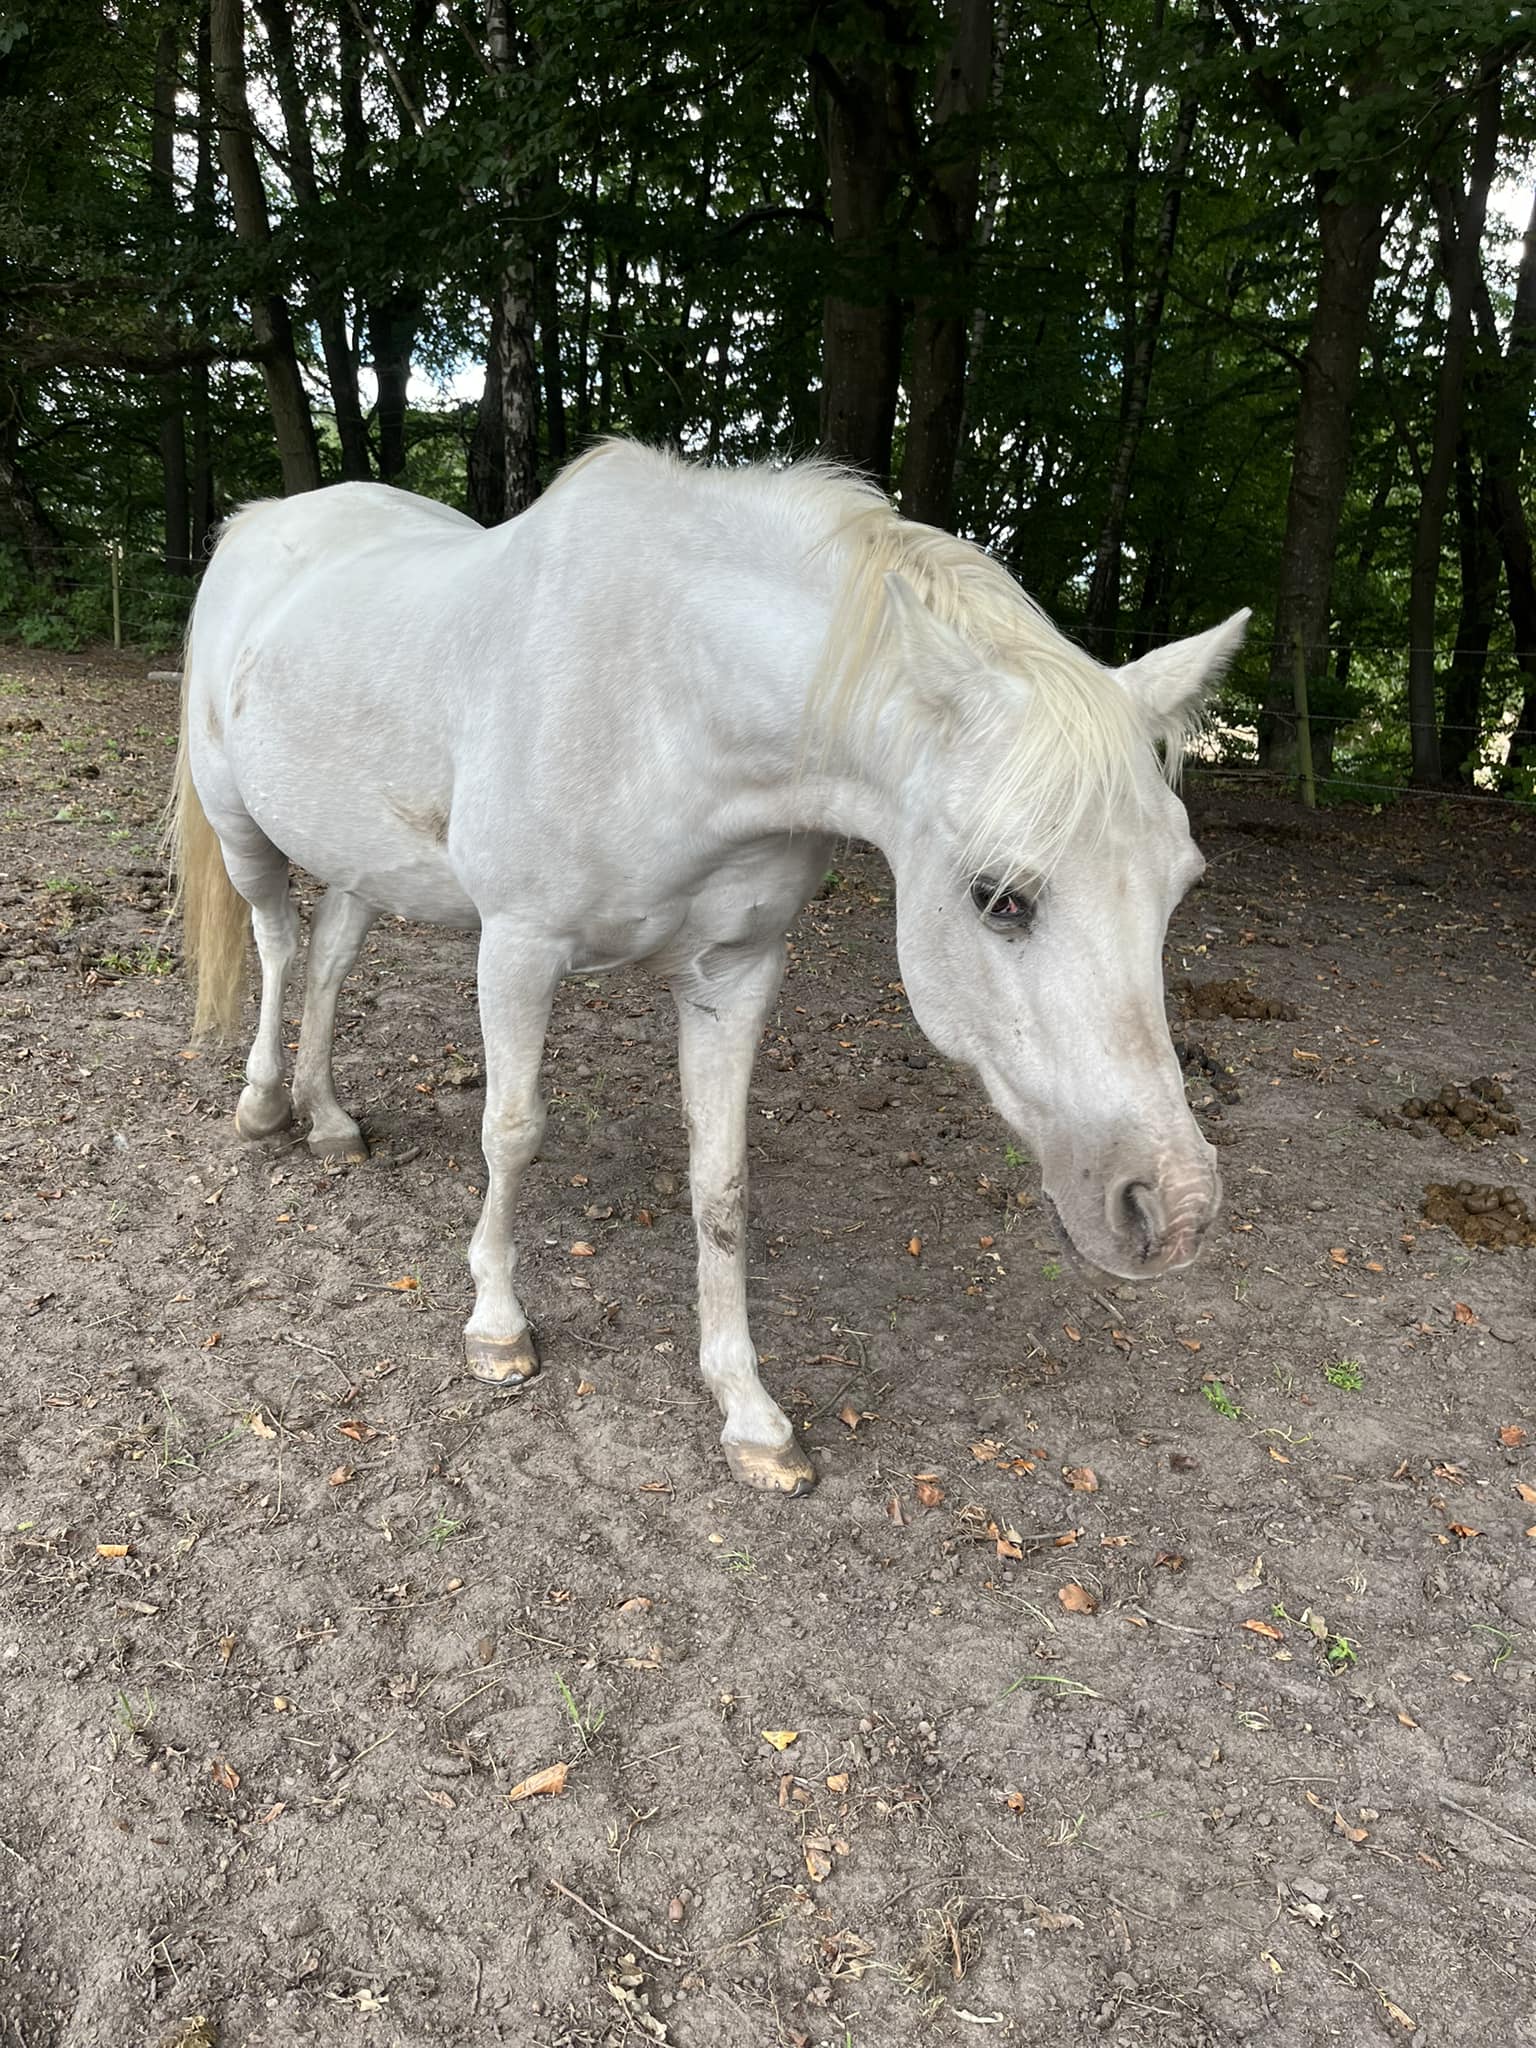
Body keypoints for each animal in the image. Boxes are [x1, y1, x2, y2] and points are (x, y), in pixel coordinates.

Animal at [168, 440, 1247, 1495]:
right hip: (244, 831)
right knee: (278, 944)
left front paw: (750, 1413)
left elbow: (720, 1183)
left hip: (364, 859)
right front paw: (497, 1327)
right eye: (1000, 897)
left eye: (1180, 884)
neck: (668, 699)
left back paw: (330, 1120)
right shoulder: (517, 945)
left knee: (332, 960)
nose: (1171, 1209)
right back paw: (265, 1104)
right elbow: (511, 1133)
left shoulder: (734, 972)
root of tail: (261, 523)